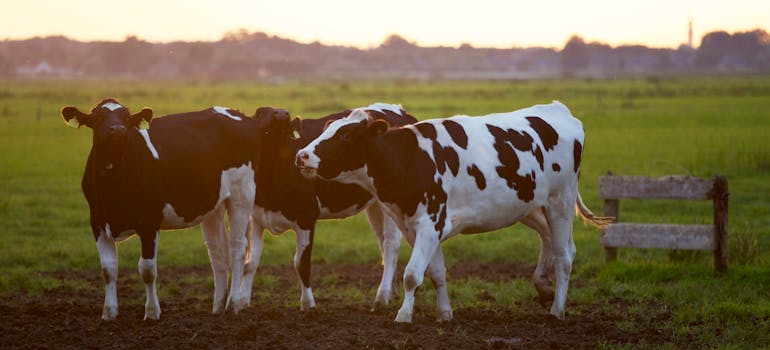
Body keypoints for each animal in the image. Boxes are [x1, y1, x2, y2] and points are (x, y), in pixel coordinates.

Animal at [57, 99, 284, 320]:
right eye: (98, 118)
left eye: (127, 118)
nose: (118, 130)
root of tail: (241, 115)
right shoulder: (97, 222)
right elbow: (108, 269)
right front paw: (109, 312)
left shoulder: (149, 222)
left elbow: (147, 269)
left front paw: (151, 312)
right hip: (214, 205)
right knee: (218, 250)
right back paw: (218, 306)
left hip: (241, 194)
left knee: (237, 247)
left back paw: (233, 303)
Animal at [240, 102, 416, 310]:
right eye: (260, 112)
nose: (282, 113)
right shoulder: (256, 218)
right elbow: (250, 262)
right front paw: (241, 302)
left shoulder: (306, 217)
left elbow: (301, 264)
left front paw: (308, 305)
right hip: (376, 205)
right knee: (382, 242)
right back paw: (391, 291)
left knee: (390, 245)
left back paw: (382, 297)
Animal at [294, 101, 612, 322]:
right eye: (327, 129)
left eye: (346, 136)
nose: (301, 155)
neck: (410, 159)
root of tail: (558, 110)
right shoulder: (418, 227)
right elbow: (435, 272)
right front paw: (444, 313)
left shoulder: (430, 223)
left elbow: (412, 274)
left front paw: (403, 315)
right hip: (530, 205)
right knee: (552, 241)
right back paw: (543, 288)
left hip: (560, 201)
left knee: (565, 255)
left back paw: (557, 309)